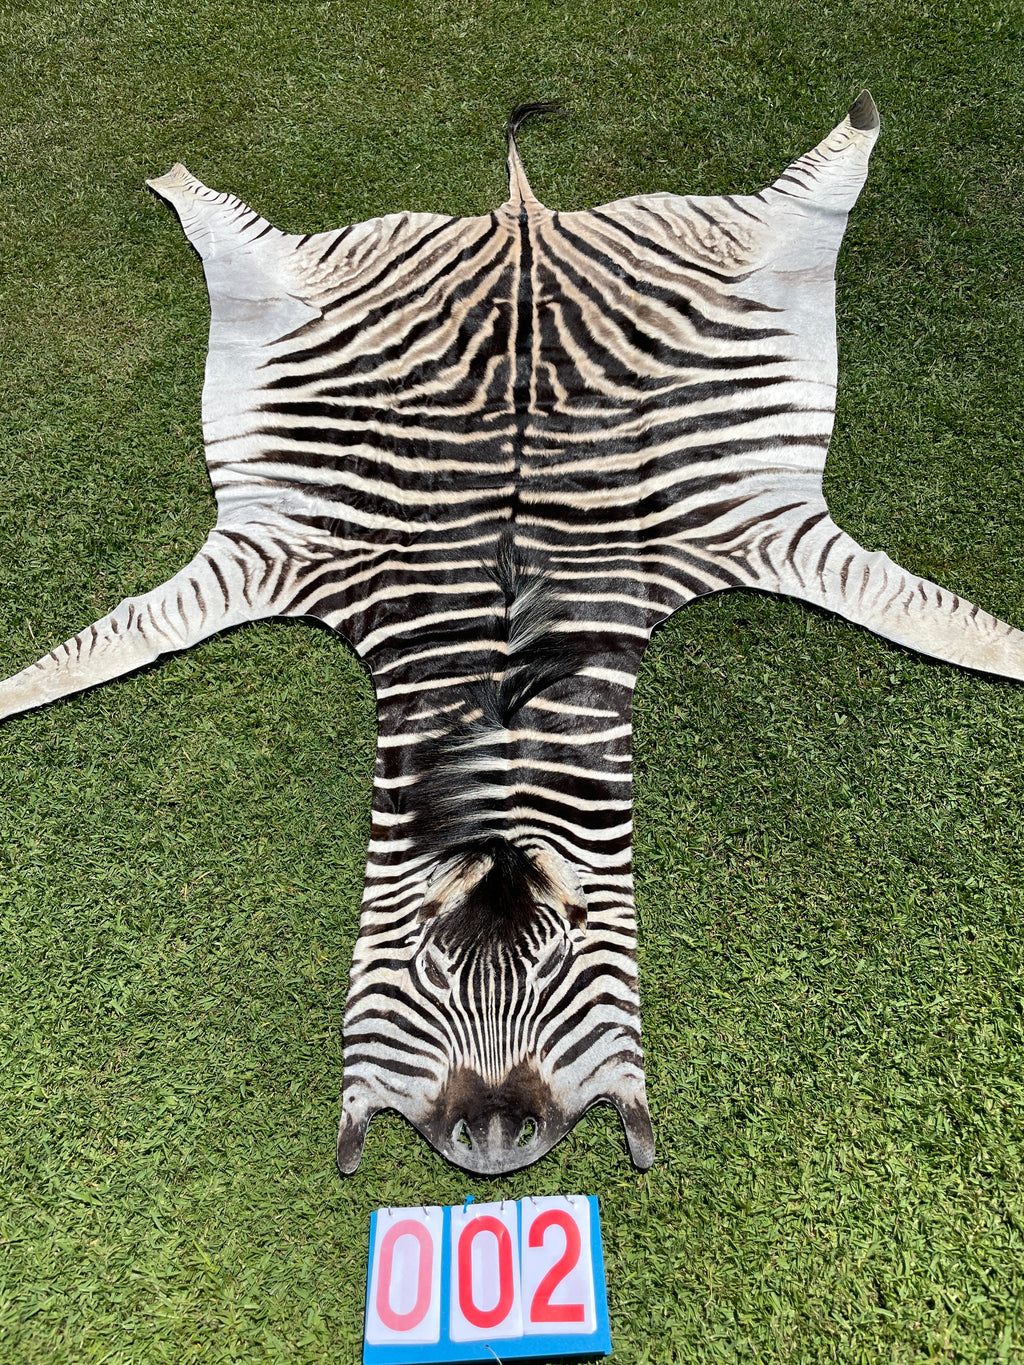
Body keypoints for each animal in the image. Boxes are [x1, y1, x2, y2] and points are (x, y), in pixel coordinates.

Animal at [1, 95, 1021, 1177]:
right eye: (427, 973)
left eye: (558, 967)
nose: (492, 1140)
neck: (496, 691)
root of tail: (523, 220)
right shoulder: (273, 556)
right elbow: (114, 640)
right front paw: (12, 693)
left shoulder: (766, 538)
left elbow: (947, 624)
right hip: (306, 280)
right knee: (231, 225)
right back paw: (178, 179)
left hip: (745, 244)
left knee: (818, 179)